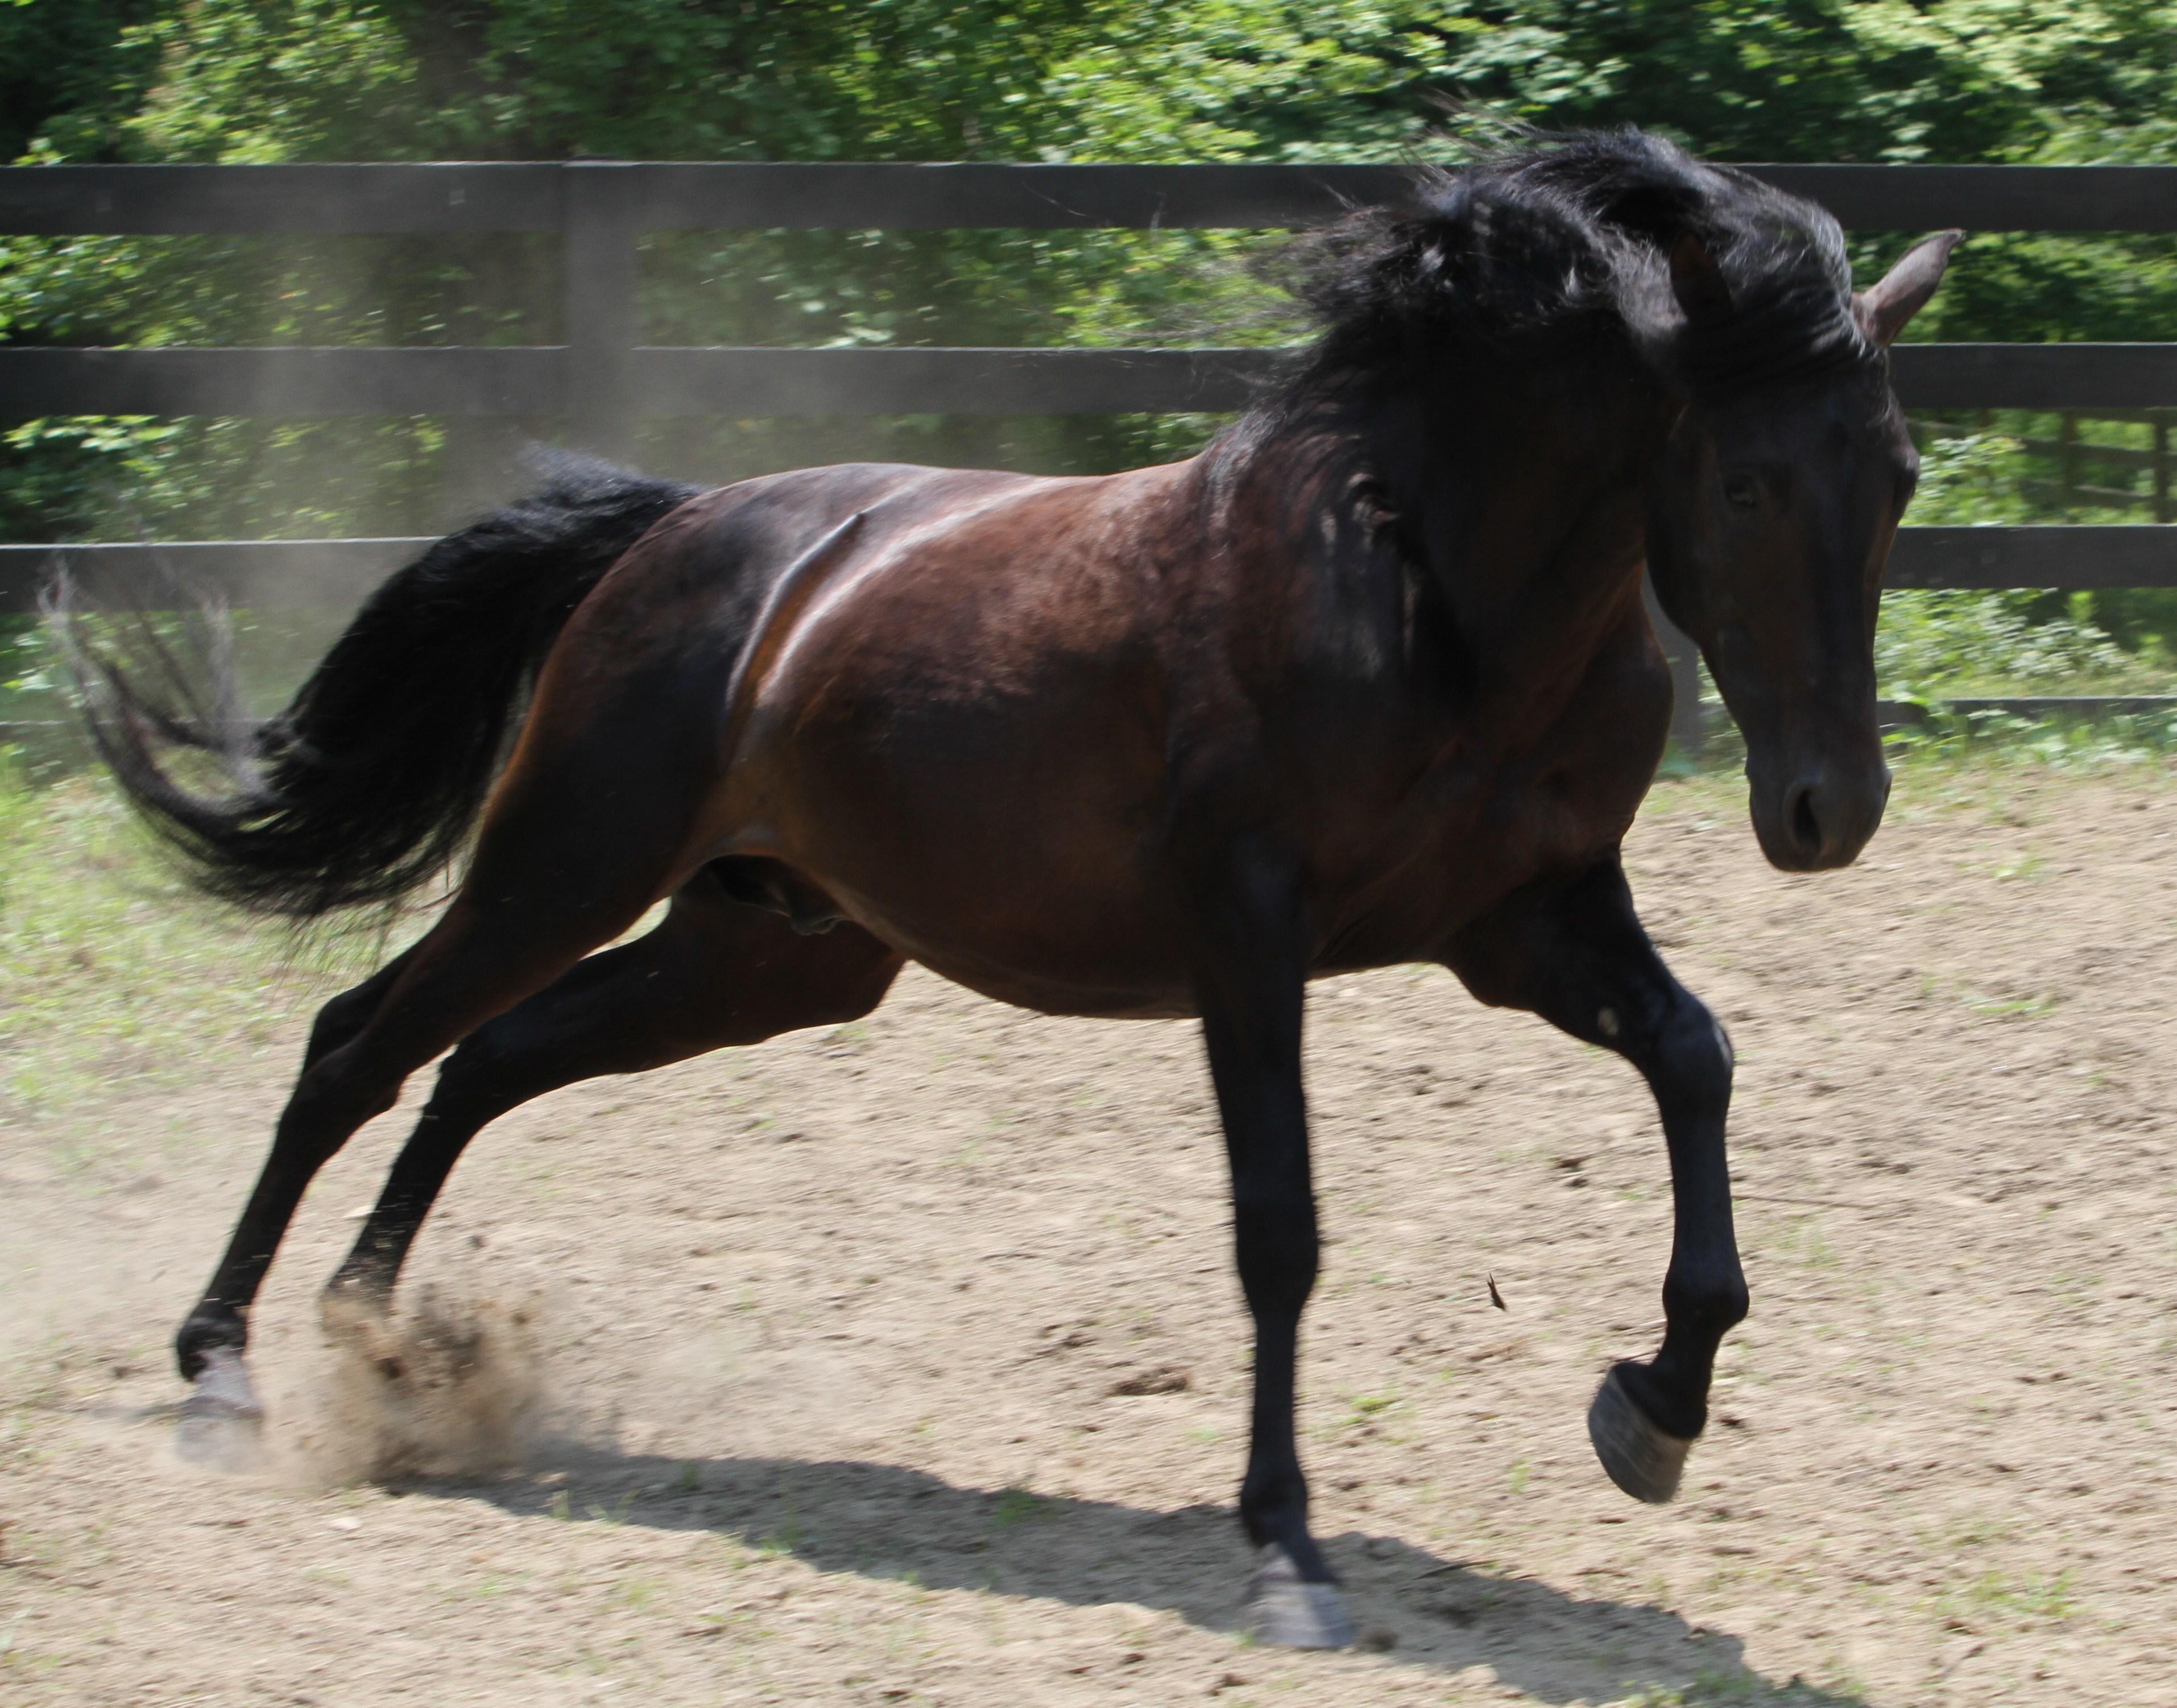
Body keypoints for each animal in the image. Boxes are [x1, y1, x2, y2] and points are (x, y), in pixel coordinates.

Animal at [68, 133, 1950, 1653]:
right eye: (1745, 477)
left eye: (1899, 476)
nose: (1827, 809)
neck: (1433, 590)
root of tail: (679, 530)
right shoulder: (1249, 936)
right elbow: (1280, 1227)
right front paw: (1287, 1554)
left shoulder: (1526, 919)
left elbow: (1695, 1061)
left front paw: (1650, 1412)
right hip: (569, 862)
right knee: (357, 1043)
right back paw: (223, 1374)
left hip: (766, 953)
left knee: (482, 1060)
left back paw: (379, 1343)